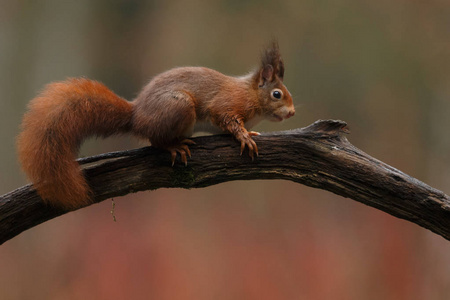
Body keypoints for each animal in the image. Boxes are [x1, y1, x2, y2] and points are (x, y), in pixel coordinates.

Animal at [16, 42, 296, 209]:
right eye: (277, 95)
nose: (293, 112)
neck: (250, 94)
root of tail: (136, 115)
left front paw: (250, 131)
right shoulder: (227, 105)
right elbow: (227, 119)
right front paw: (244, 136)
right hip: (179, 107)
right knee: (155, 140)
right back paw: (174, 147)